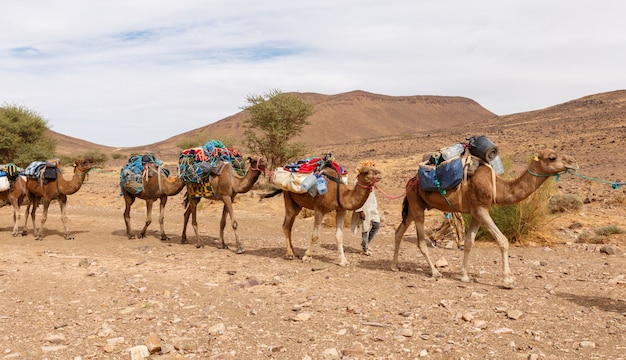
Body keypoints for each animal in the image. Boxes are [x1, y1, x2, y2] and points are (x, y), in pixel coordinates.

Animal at [390, 149, 576, 286]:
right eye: (552, 157)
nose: (573, 162)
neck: (497, 186)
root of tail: (411, 181)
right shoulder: (481, 209)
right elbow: (503, 240)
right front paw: (508, 279)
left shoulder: (476, 212)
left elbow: (469, 243)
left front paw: (465, 276)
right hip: (416, 204)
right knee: (421, 241)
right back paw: (435, 272)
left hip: (413, 206)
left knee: (399, 231)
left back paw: (394, 266)